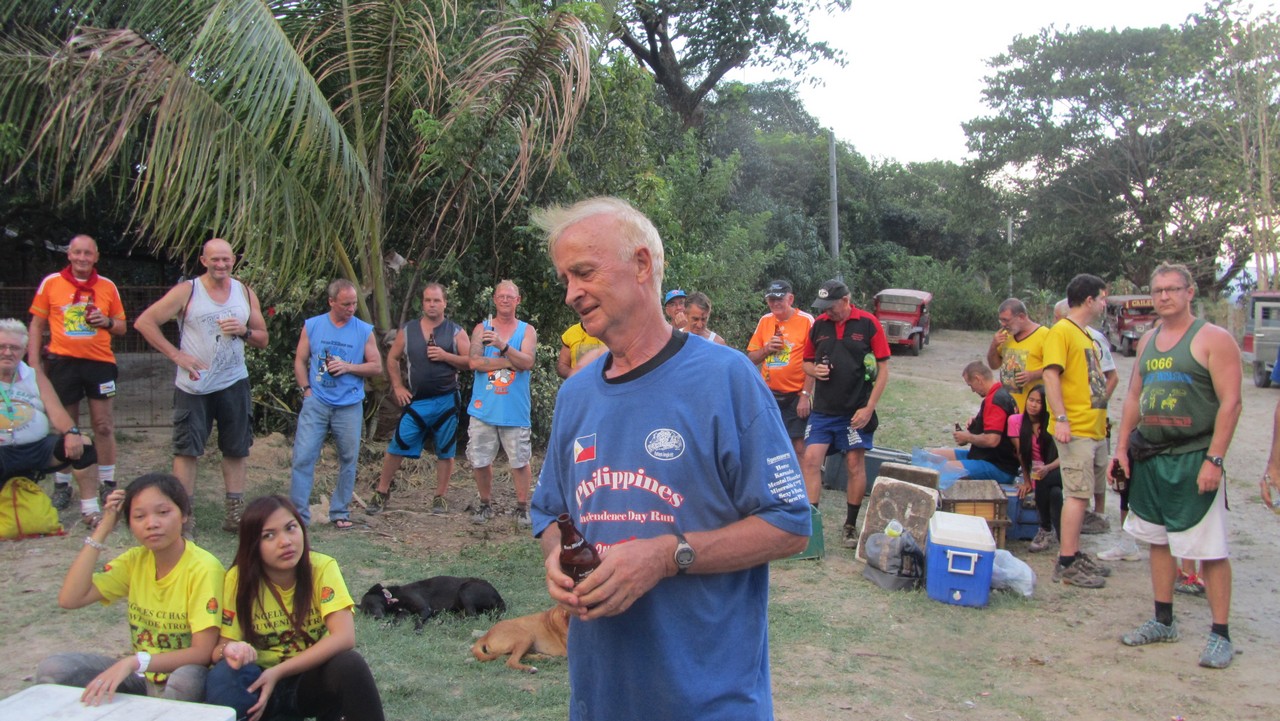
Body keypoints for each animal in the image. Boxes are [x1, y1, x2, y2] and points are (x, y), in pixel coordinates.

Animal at [360, 576, 505, 630]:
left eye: (371, 605)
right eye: (366, 612)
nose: (376, 617)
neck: (395, 597)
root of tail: (500, 598)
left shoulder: (424, 608)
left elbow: (418, 619)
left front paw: (418, 629)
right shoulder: (403, 613)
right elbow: (395, 621)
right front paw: (387, 625)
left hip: (465, 589)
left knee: (472, 616)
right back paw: (442, 622)